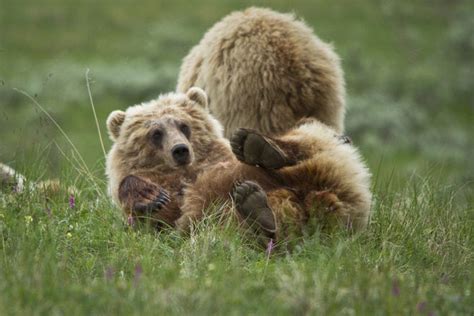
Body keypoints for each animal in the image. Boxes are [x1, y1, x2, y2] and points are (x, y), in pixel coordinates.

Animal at [106, 88, 370, 244]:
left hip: (318, 152)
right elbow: (160, 217)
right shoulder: (176, 210)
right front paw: (149, 195)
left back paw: (260, 147)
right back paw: (257, 208)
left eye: (183, 125)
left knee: (305, 136)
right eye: (156, 133)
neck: (188, 173)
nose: (180, 150)